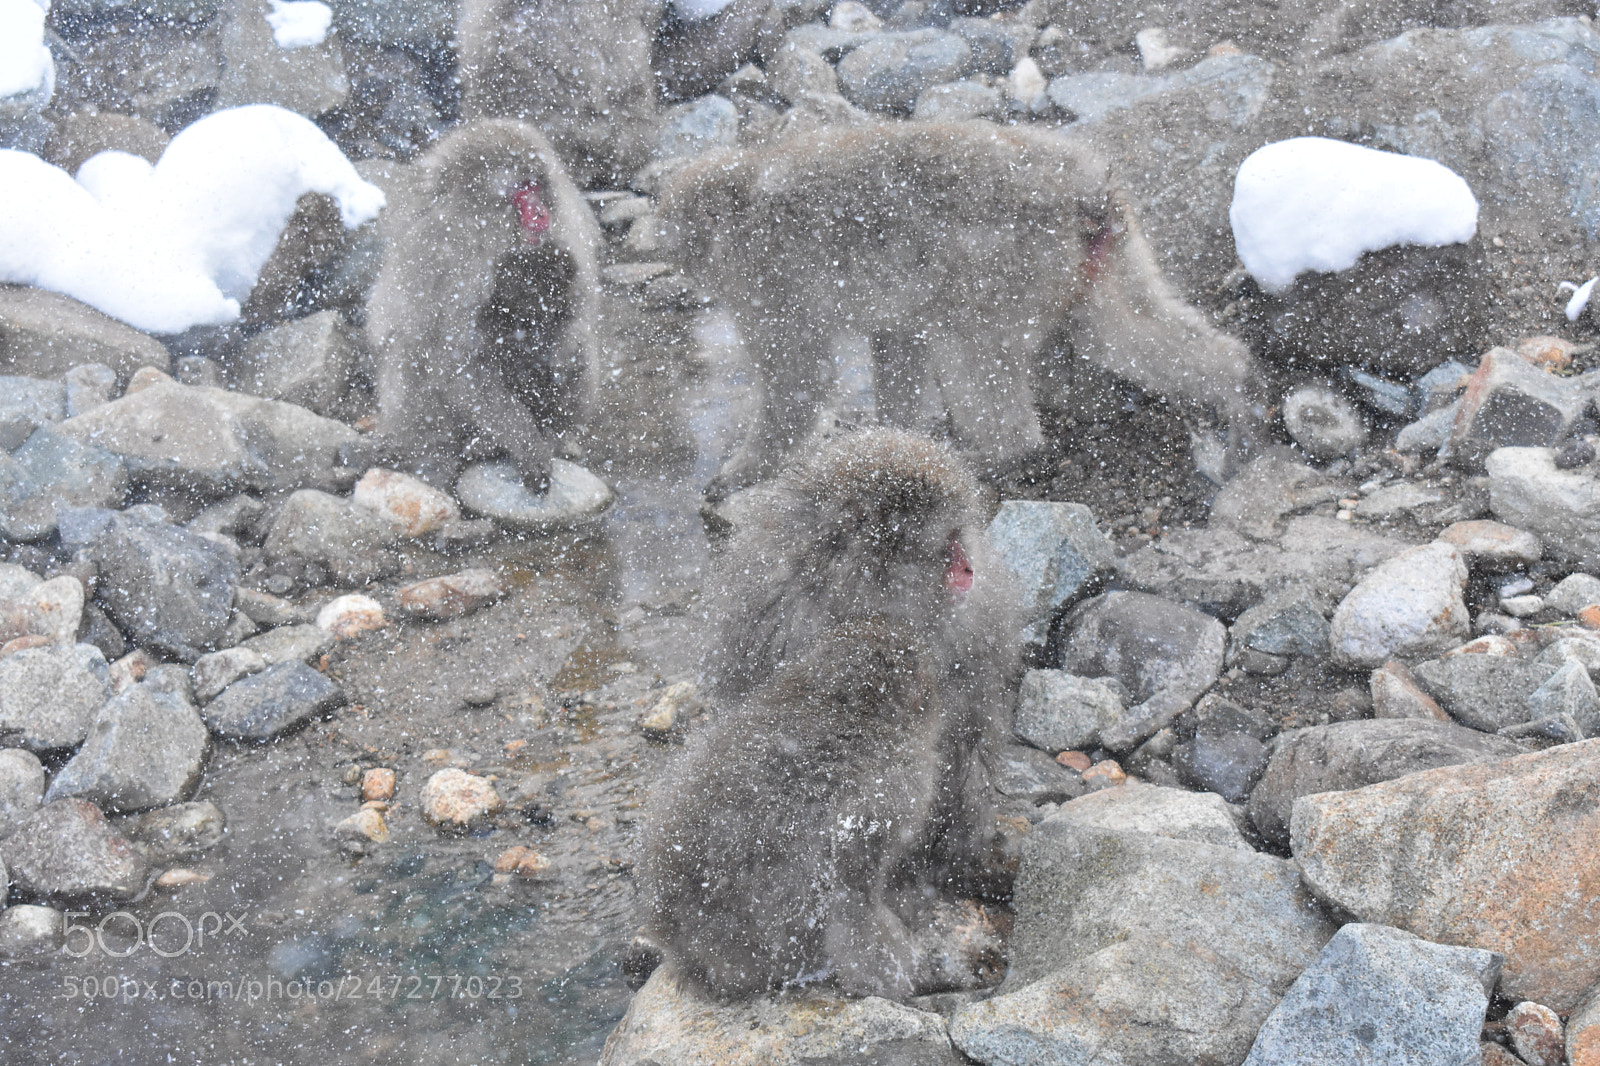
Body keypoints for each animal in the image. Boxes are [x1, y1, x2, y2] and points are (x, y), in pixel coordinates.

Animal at [363, 118, 601, 493]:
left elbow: (574, 319)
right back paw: (467, 446)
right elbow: (457, 361)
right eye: (521, 191)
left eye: (536, 186)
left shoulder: (566, 233)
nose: (540, 212)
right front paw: (527, 444)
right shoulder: (452, 264)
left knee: (578, 342)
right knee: (407, 356)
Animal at [655, 121, 1262, 499]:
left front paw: (743, 470)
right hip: (1106, 255)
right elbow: (898, 342)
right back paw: (1239, 389)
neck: (743, 202)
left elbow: (799, 378)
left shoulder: (770, 284)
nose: (669, 256)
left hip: (1004, 271)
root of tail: (1085, 195)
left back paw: (998, 456)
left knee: (970, 349)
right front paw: (892, 437)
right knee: (1125, 330)